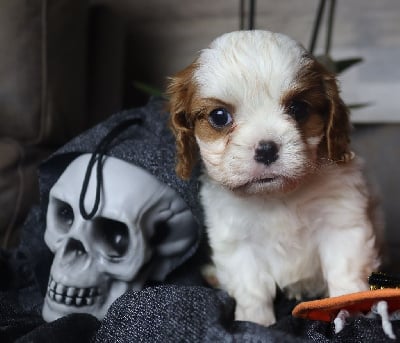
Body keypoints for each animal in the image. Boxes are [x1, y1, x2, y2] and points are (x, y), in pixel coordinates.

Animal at [166, 30, 382, 328]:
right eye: (219, 117)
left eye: (298, 108)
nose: (266, 149)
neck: (278, 196)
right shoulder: (238, 243)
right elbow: (252, 288)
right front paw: (255, 322)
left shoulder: (342, 223)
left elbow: (345, 274)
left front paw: (347, 311)